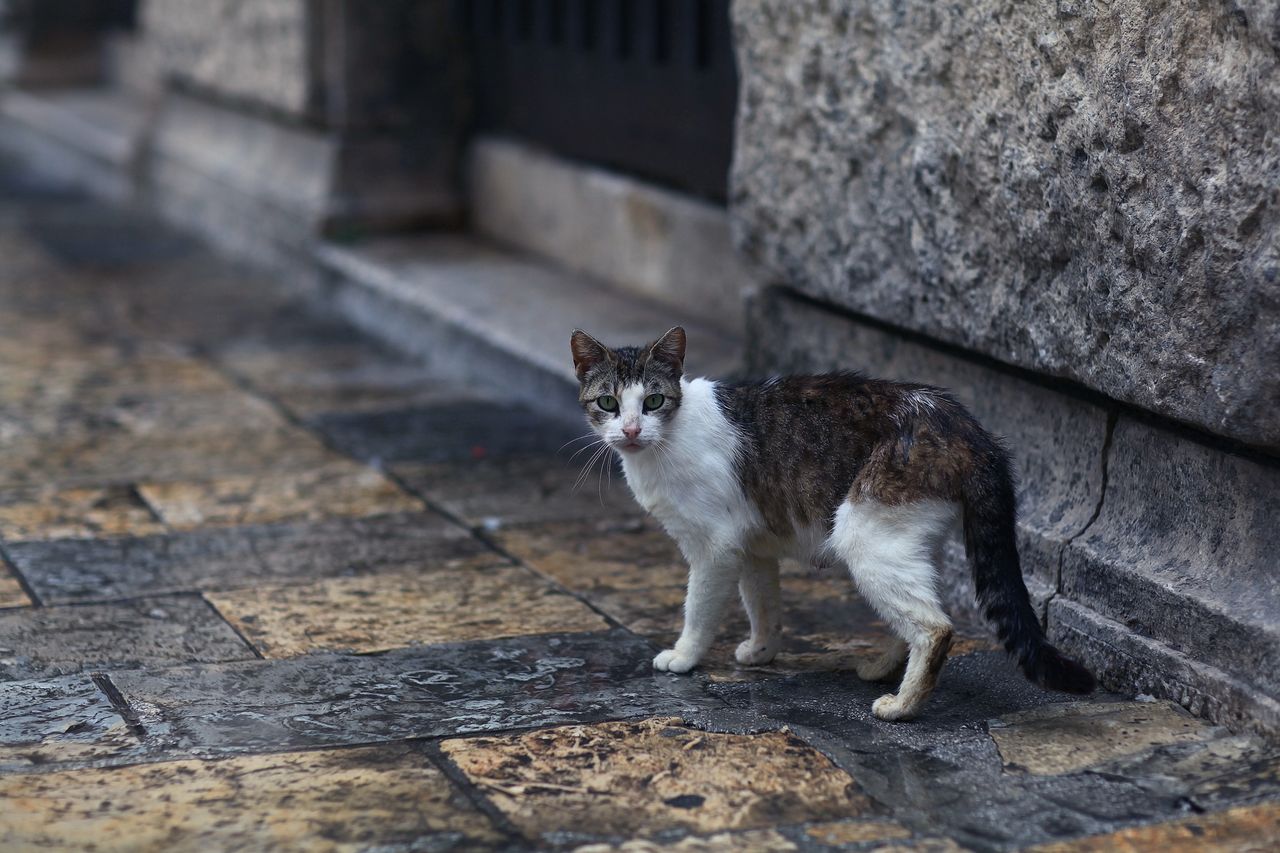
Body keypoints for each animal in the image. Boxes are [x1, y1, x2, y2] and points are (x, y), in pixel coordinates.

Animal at [576, 324, 1095, 717]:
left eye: (654, 402)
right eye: (608, 404)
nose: (630, 430)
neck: (663, 444)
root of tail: (972, 431)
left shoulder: (715, 548)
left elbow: (699, 609)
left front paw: (684, 656)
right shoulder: (752, 546)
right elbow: (763, 605)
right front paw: (761, 651)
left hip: (864, 533)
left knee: (936, 628)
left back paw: (902, 705)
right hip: (902, 539)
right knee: (923, 608)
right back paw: (885, 668)